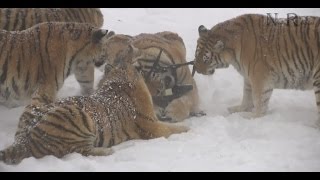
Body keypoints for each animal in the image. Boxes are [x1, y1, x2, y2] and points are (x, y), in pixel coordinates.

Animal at [0, 45, 188, 165]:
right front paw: (188, 129)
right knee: (77, 150)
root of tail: (24, 139)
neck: (121, 73)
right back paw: (106, 151)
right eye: (155, 74)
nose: (162, 87)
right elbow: (174, 128)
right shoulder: (152, 126)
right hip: (77, 119)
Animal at [192, 13, 320, 119]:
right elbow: (247, 95)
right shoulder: (248, 77)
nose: (197, 70)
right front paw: (239, 109)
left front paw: (250, 117)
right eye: (197, 55)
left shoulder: (260, 78)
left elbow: (259, 101)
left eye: (206, 59)